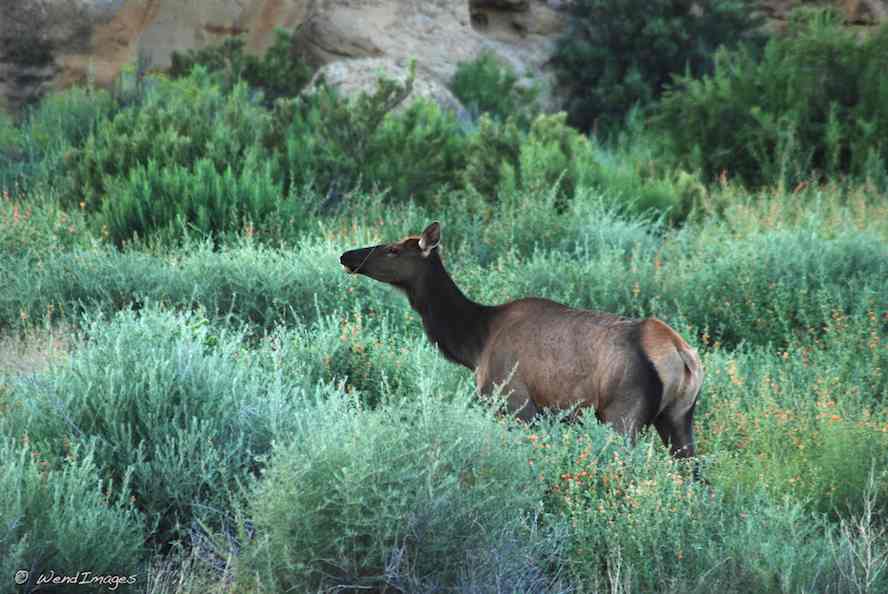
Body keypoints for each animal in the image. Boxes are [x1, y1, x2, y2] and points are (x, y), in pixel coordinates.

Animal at [342, 221, 708, 458]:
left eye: (393, 249)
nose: (346, 255)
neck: (474, 344)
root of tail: (681, 355)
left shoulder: (514, 403)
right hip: (678, 417)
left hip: (622, 415)